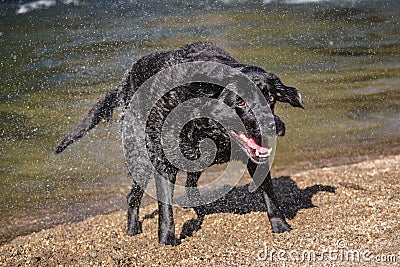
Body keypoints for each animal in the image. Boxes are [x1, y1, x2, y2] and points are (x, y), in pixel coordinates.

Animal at [56, 42, 304, 247]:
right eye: (240, 102)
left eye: (270, 98)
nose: (276, 126)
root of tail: (123, 86)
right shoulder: (162, 163)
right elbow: (166, 210)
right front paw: (167, 241)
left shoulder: (254, 157)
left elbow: (269, 194)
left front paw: (281, 226)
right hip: (140, 159)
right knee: (133, 197)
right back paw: (133, 229)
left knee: (190, 183)